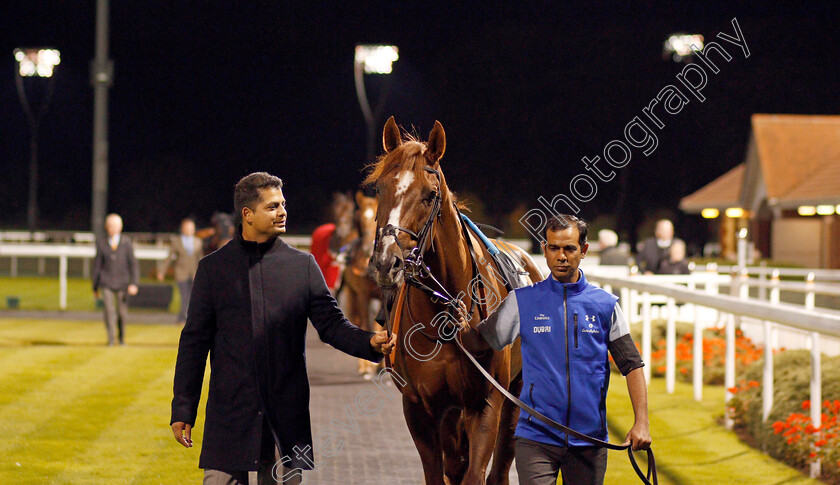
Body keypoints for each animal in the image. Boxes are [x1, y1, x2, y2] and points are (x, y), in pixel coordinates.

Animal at [370, 118, 544, 484]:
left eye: (429, 195)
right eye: (379, 188)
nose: (385, 262)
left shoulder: (487, 403)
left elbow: (476, 474)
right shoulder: (419, 409)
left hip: (515, 395)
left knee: (499, 466)